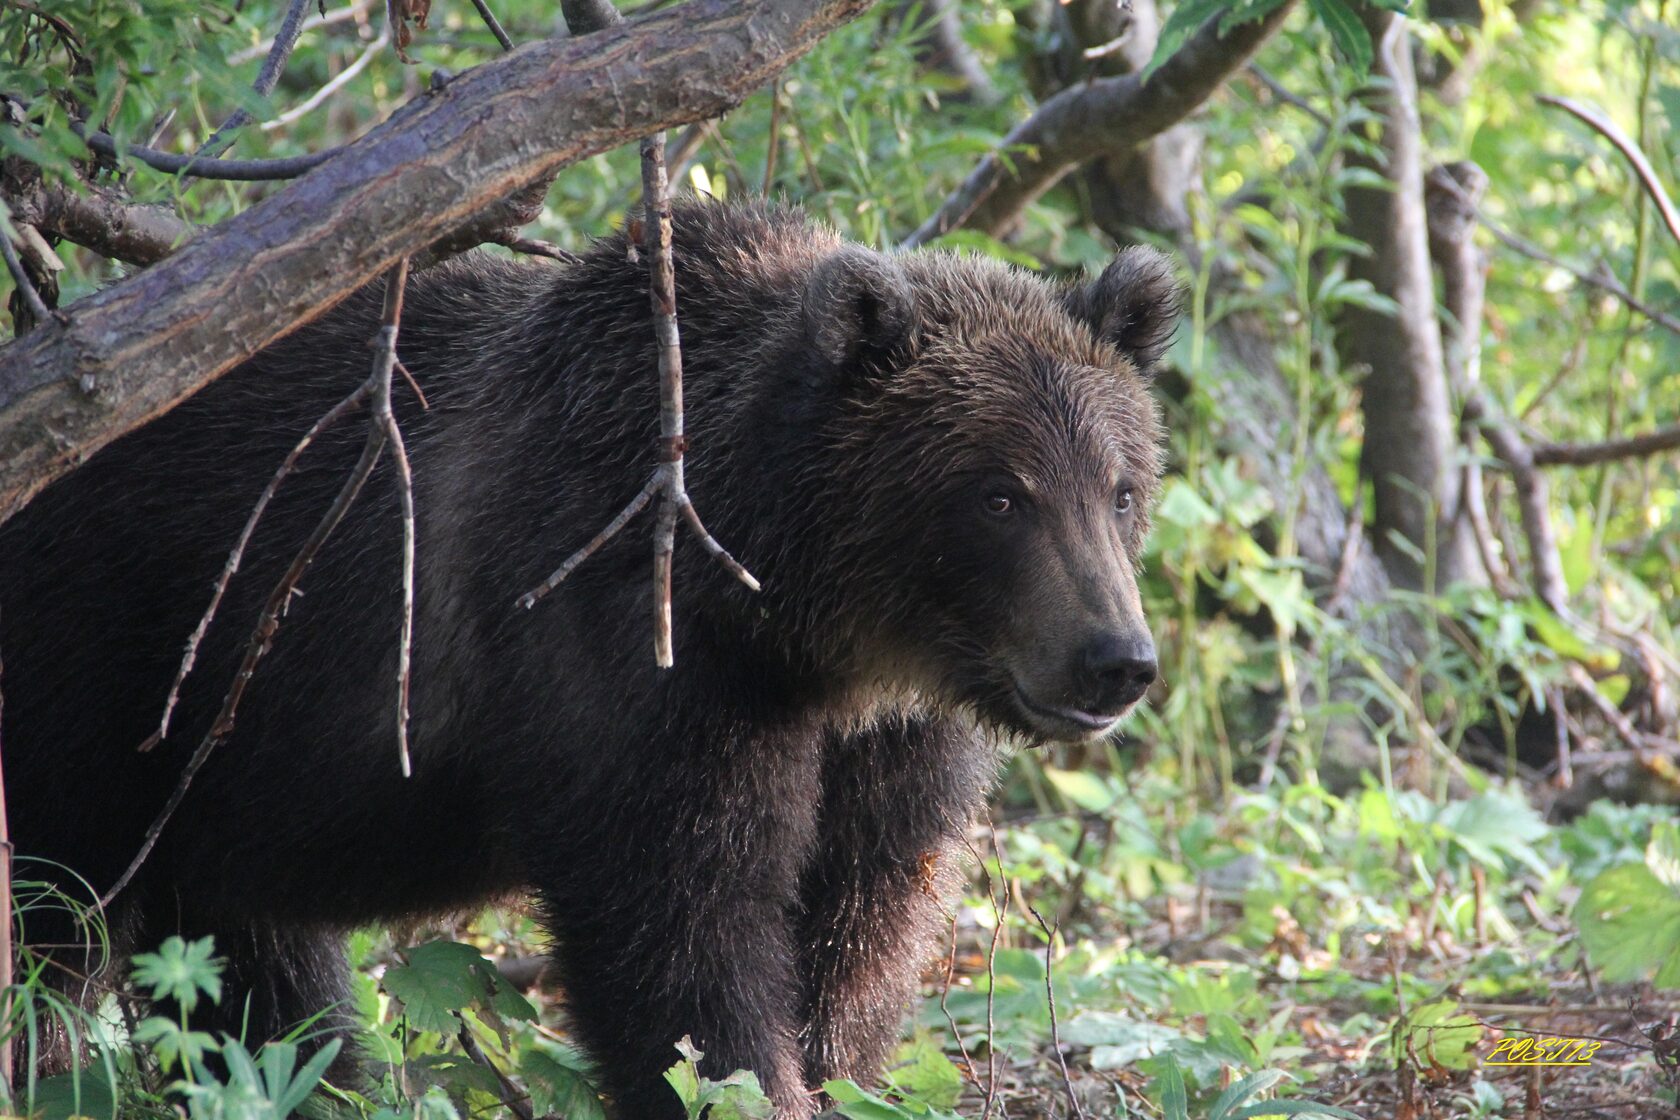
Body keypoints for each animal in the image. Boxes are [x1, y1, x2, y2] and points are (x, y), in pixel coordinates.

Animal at [0, 204, 1176, 1120]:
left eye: (1121, 486)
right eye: (1000, 494)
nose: (1114, 659)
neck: (794, 619)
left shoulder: (888, 739)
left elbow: (862, 926)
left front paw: (834, 1062)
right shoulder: (628, 655)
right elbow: (684, 939)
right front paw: (745, 1078)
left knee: (245, 968)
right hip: (100, 672)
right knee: (53, 925)